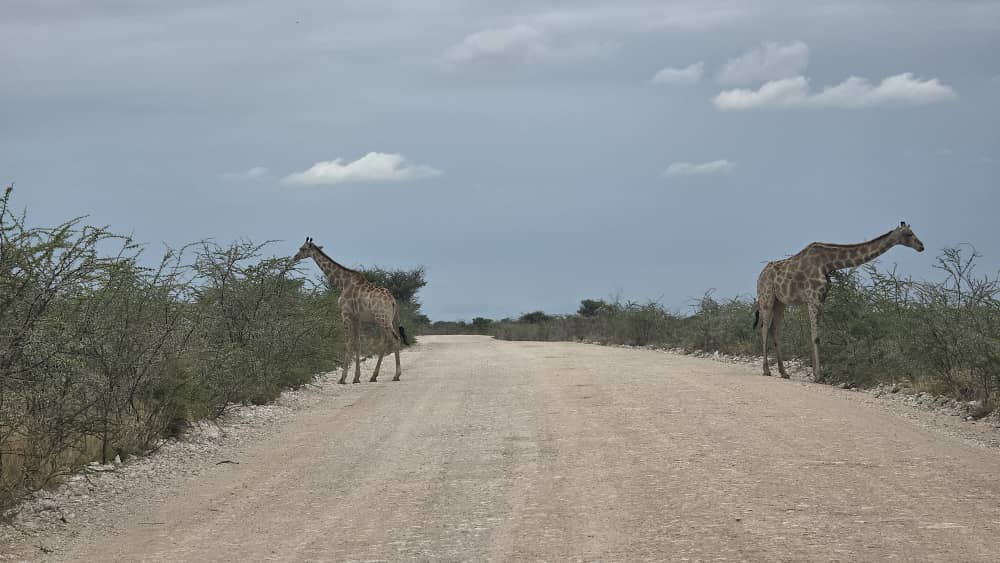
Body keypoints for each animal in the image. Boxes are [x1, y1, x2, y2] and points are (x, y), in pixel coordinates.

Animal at [293, 237, 408, 384]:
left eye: (302, 248)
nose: (294, 257)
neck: (343, 283)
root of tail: (393, 301)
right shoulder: (357, 317)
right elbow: (357, 343)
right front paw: (356, 377)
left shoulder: (345, 313)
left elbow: (348, 342)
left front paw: (343, 378)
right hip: (385, 319)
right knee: (386, 340)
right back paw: (373, 376)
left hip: (382, 318)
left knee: (395, 338)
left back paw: (396, 375)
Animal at [754, 221, 924, 382]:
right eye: (909, 234)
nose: (921, 246)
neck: (828, 264)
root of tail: (760, 276)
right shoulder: (813, 297)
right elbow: (815, 336)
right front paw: (819, 376)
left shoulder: (821, 298)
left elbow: (816, 335)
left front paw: (816, 374)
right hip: (766, 298)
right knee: (764, 329)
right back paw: (766, 370)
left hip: (780, 302)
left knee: (775, 331)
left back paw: (784, 373)